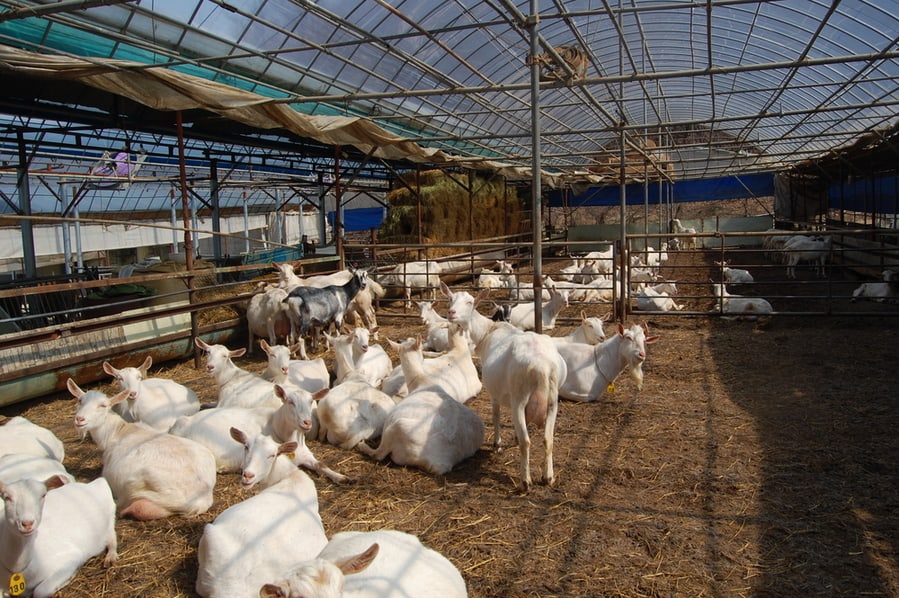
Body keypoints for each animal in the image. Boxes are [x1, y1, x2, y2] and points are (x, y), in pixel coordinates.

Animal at [68, 382, 218, 524]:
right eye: (80, 400)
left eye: (103, 405)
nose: (80, 419)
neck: (116, 432)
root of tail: (203, 496)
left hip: (139, 485)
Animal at [444, 282, 568, 492]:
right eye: (451, 299)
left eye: (470, 302)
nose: (451, 313)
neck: (489, 330)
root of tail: (542, 366)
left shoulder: (494, 392)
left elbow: (496, 416)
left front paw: (497, 444)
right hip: (552, 400)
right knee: (548, 439)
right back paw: (548, 477)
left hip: (519, 397)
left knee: (527, 442)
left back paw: (525, 481)